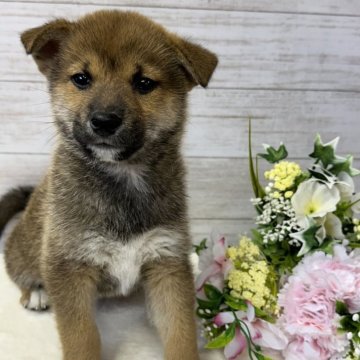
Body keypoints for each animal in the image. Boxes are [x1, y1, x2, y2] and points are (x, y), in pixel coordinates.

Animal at [0, 10, 217, 360]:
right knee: (19, 268)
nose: (104, 121)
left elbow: (180, 332)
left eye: (143, 83)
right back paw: (36, 292)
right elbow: (82, 337)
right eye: (81, 79)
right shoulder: (69, 265)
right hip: (30, 250)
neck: (123, 179)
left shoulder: (166, 260)